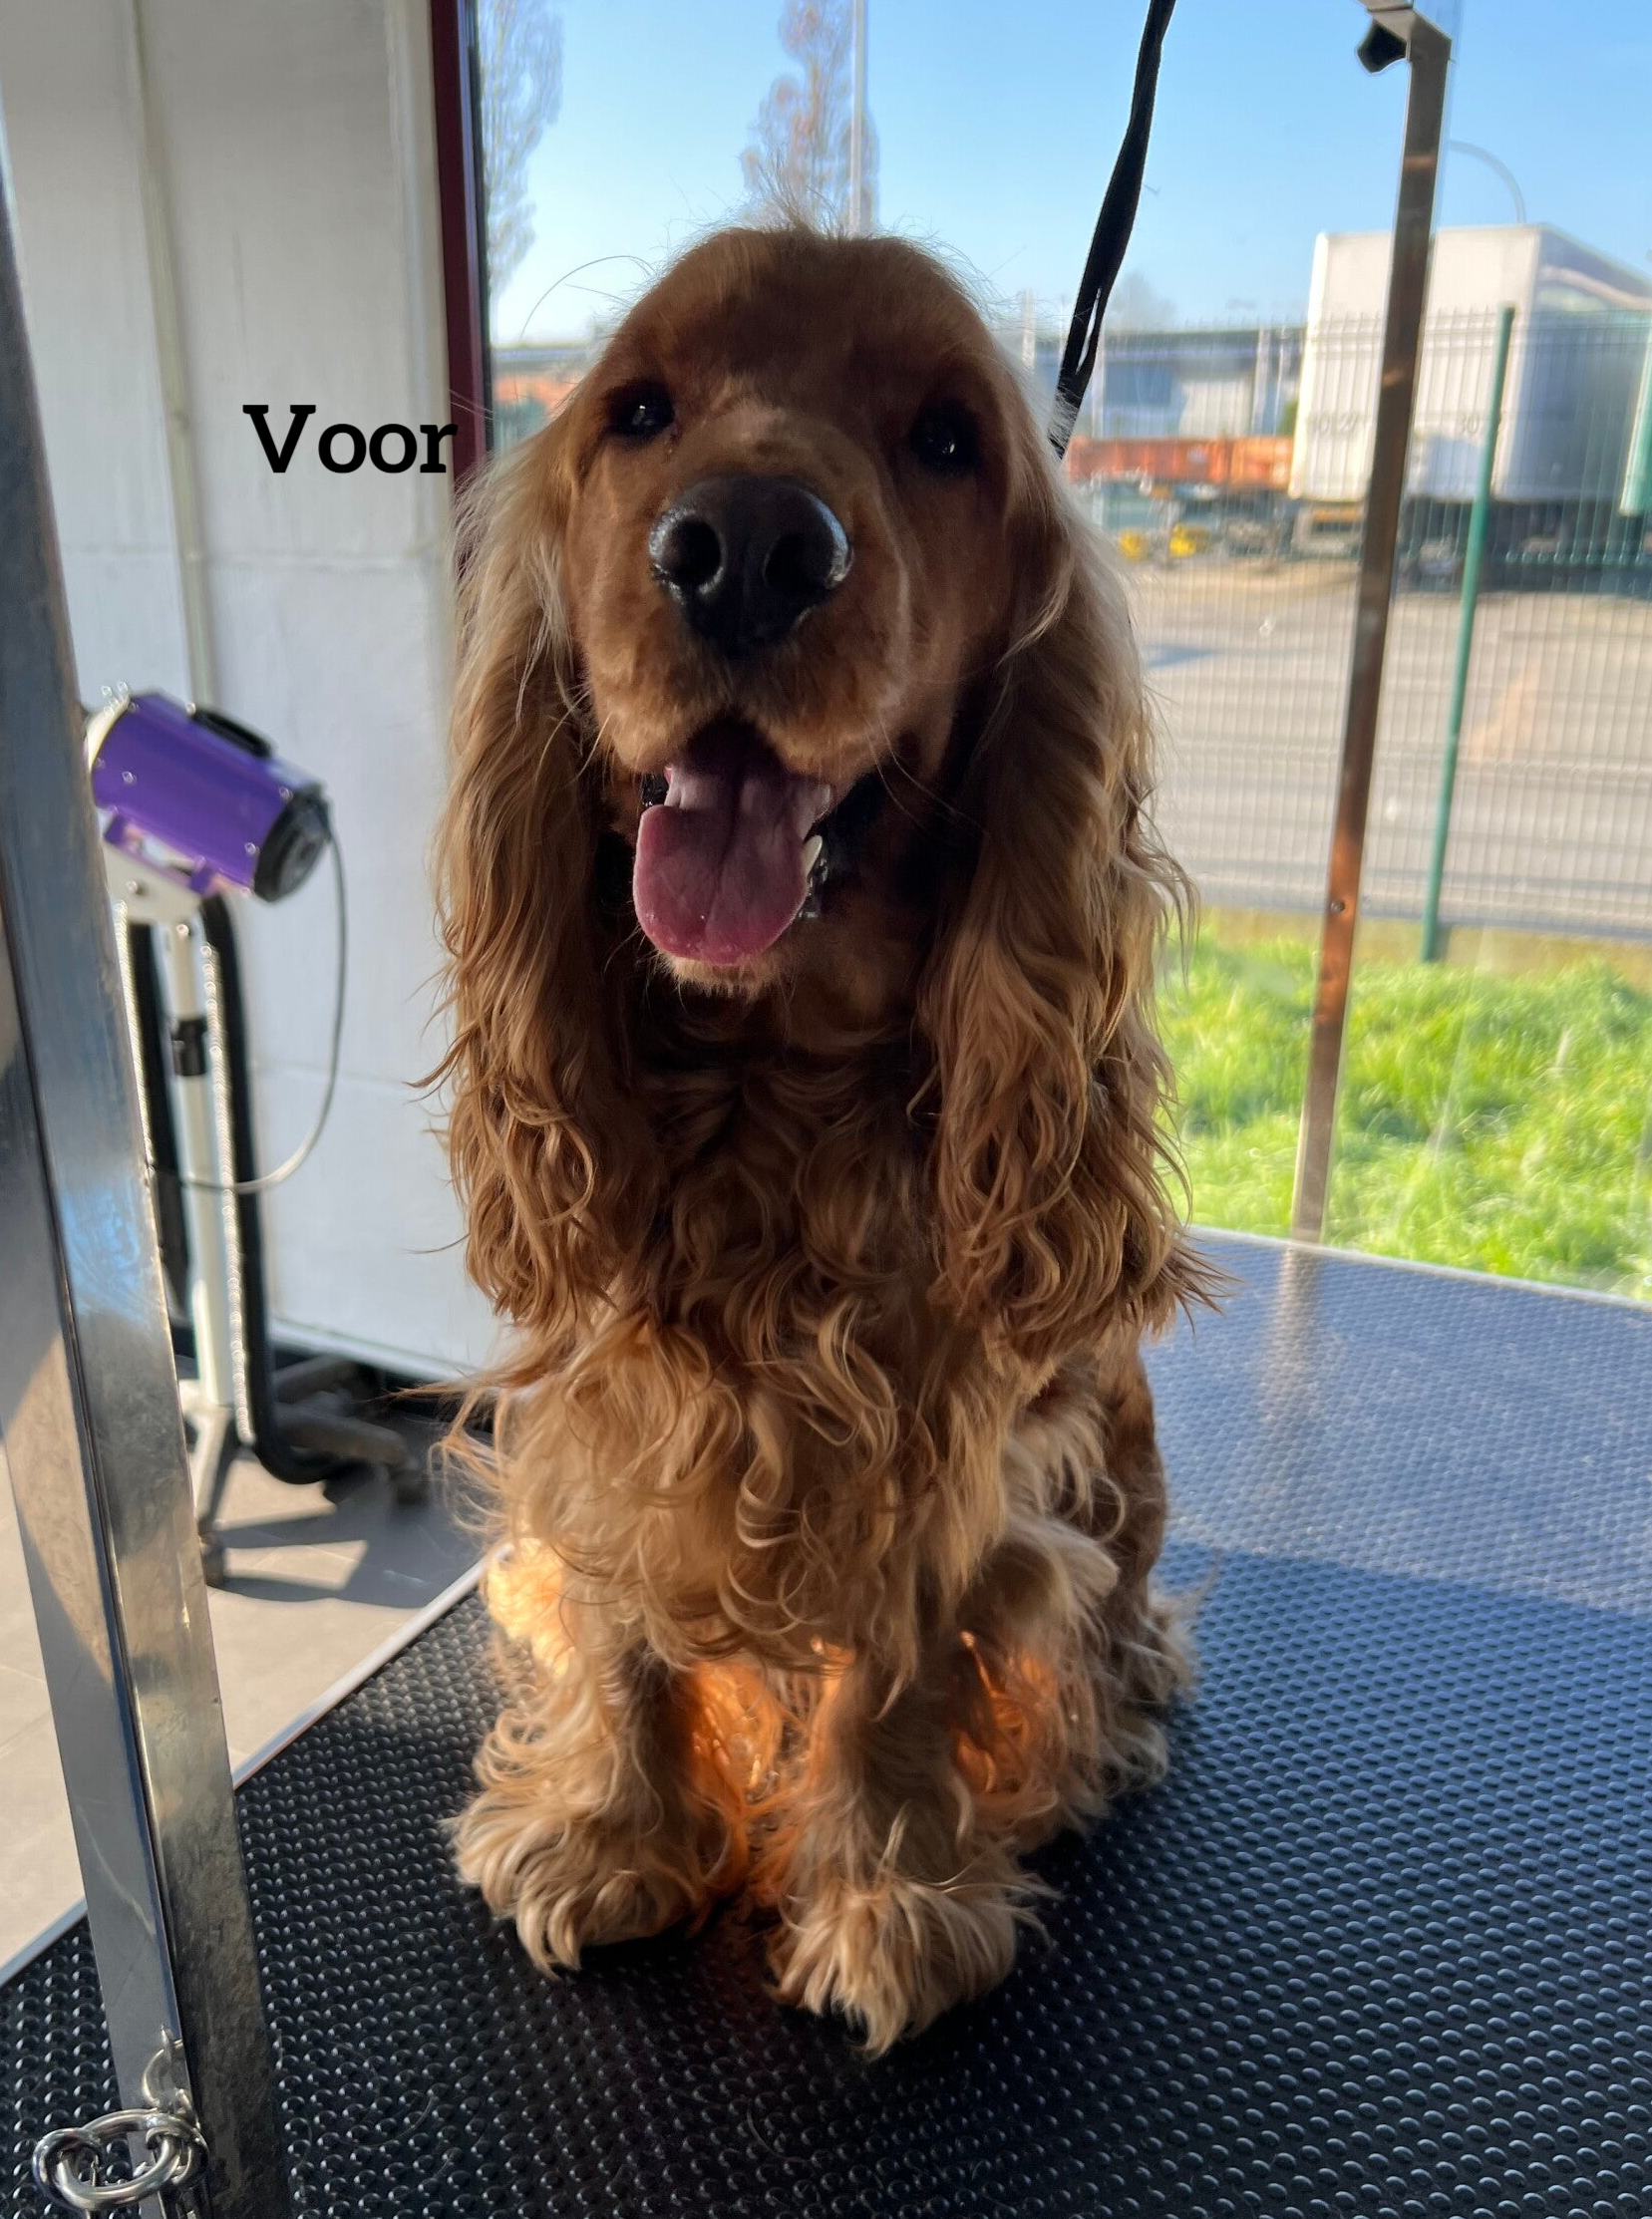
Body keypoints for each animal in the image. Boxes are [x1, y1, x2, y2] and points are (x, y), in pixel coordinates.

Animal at [434, 224, 1204, 2053]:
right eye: (639, 409)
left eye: (947, 438)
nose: (746, 554)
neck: (767, 1079)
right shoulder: (604, 1409)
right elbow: (624, 1617)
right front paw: (609, 1834)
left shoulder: (958, 1456)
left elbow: (903, 1669)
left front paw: (889, 1903)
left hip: (1116, 1450)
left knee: (1120, 1592)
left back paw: (1121, 1695)